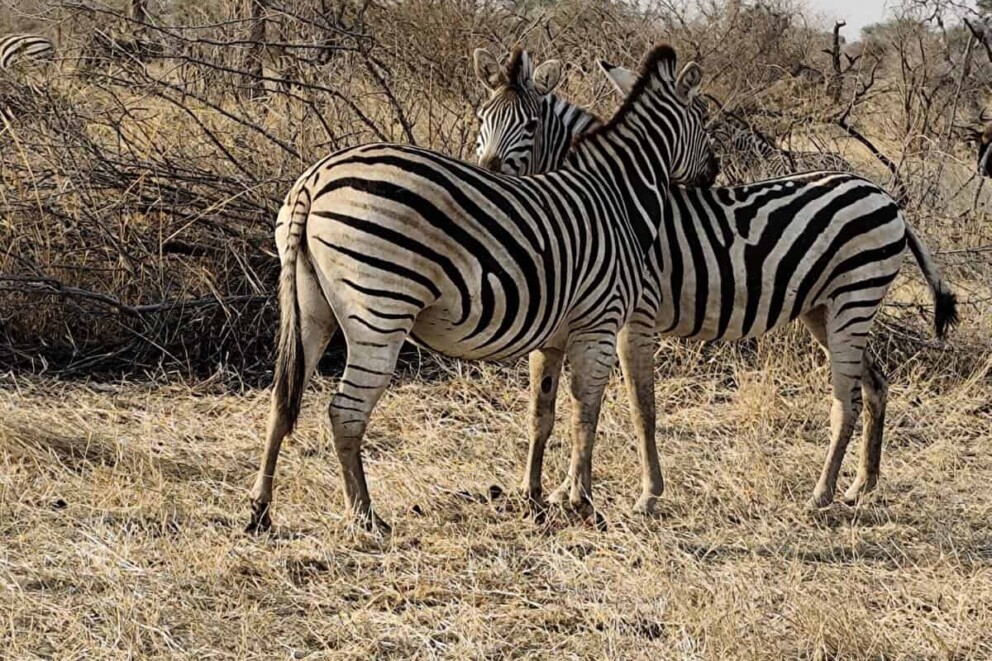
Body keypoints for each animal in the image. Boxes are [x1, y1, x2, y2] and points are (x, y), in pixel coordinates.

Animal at [246, 43, 719, 533]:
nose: (715, 172)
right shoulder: (600, 323)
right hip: (380, 310)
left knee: (282, 399)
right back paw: (365, 516)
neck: (618, 196)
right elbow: (587, 414)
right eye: (705, 119)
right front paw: (583, 504)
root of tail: (313, 182)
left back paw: (261, 509)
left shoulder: (554, 333)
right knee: (345, 413)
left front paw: (536, 499)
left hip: (311, 308)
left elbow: (543, 414)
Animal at [473, 51, 958, 513]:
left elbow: (639, 407)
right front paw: (546, 491)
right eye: (481, 119)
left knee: (848, 401)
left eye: (531, 125)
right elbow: (545, 406)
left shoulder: (632, 318)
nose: (489, 173)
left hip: (854, 300)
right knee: (874, 385)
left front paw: (647, 495)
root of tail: (885, 197)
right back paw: (861, 486)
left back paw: (821, 494)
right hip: (825, 310)